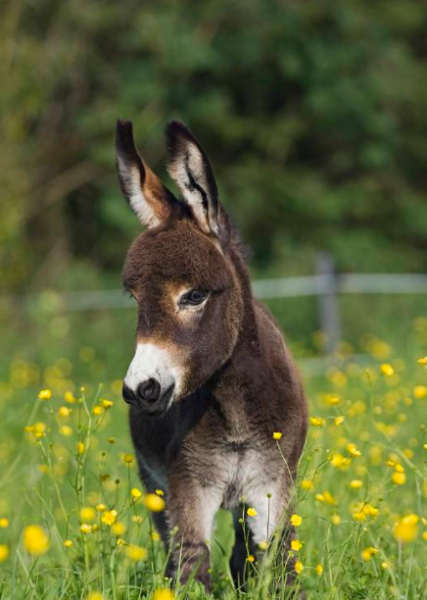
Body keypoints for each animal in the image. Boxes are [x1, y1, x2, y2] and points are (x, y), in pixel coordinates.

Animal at [115, 119, 310, 592]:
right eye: (134, 298)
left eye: (194, 295)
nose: (140, 390)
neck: (234, 407)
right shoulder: (188, 485)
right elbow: (190, 567)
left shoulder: (273, 482)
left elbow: (282, 564)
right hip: (155, 486)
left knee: (244, 553)